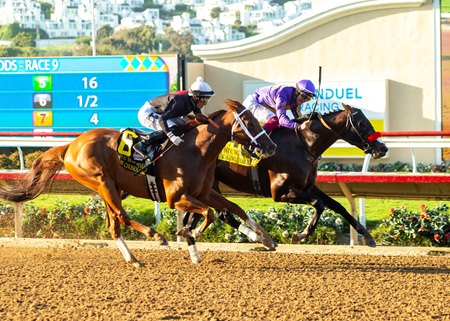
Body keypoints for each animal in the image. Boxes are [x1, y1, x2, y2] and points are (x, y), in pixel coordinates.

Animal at [0, 99, 276, 264]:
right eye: (249, 122)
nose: (270, 146)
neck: (196, 150)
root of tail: (71, 145)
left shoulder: (206, 192)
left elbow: (235, 208)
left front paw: (264, 238)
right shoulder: (177, 199)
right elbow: (208, 213)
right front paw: (189, 231)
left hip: (112, 188)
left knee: (113, 224)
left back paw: (133, 258)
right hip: (103, 182)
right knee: (121, 217)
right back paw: (156, 235)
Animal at [185, 102, 386, 245]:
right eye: (361, 123)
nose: (382, 148)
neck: (304, 144)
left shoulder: (308, 187)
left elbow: (337, 206)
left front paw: (367, 235)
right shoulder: (280, 191)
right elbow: (319, 204)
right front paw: (301, 234)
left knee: (210, 214)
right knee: (218, 214)